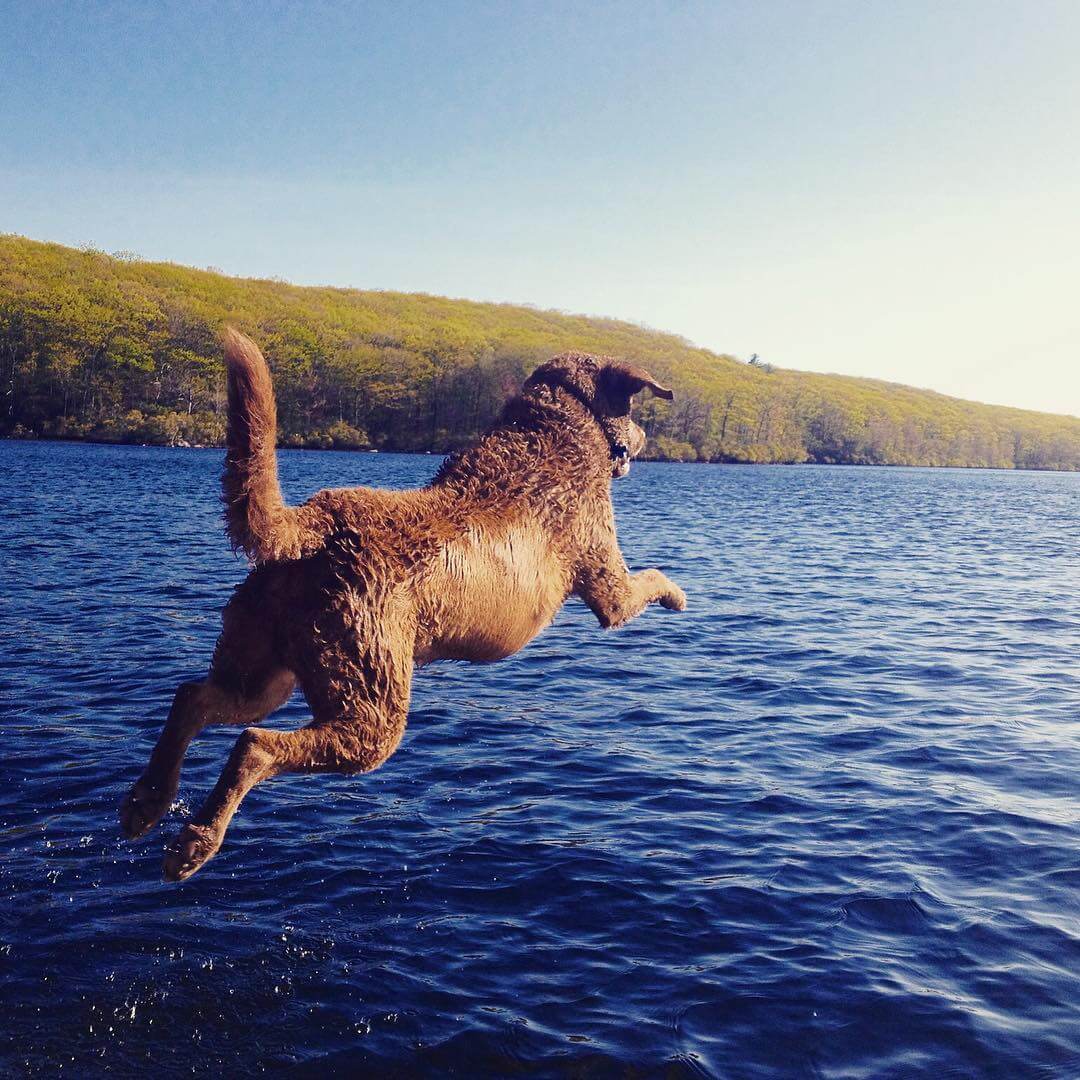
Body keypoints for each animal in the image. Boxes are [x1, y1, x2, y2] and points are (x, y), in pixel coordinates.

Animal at [122, 332, 686, 881]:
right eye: (636, 408)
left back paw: (146, 802)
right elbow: (648, 580)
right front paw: (678, 595)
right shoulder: (608, 583)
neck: (561, 426)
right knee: (254, 744)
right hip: (371, 704)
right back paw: (195, 844)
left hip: (263, 669)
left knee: (193, 698)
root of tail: (314, 525)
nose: (644, 438)